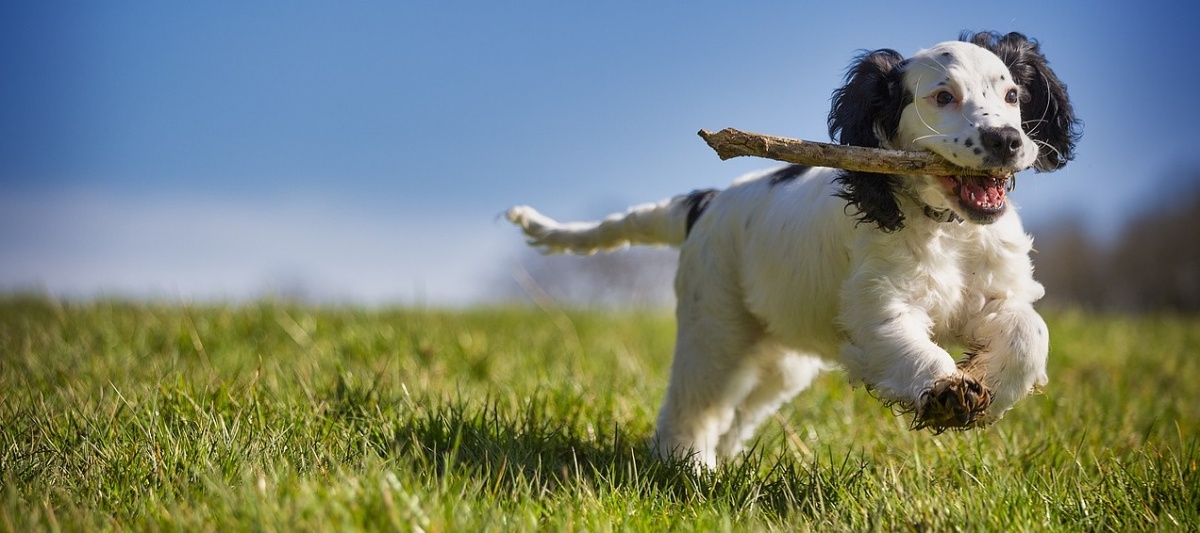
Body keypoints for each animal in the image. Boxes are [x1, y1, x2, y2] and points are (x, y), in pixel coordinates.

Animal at [504, 31, 1080, 468]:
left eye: (1012, 97)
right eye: (943, 97)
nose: (1008, 141)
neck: (946, 227)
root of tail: (706, 202)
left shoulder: (996, 294)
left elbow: (1030, 333)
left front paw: (988, 386)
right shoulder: (877, 308)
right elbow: (910, 345)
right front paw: (945, 392)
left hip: (780, 360)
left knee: (737, 412)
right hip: (716, 328)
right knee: (693, 404)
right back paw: (688, 468)